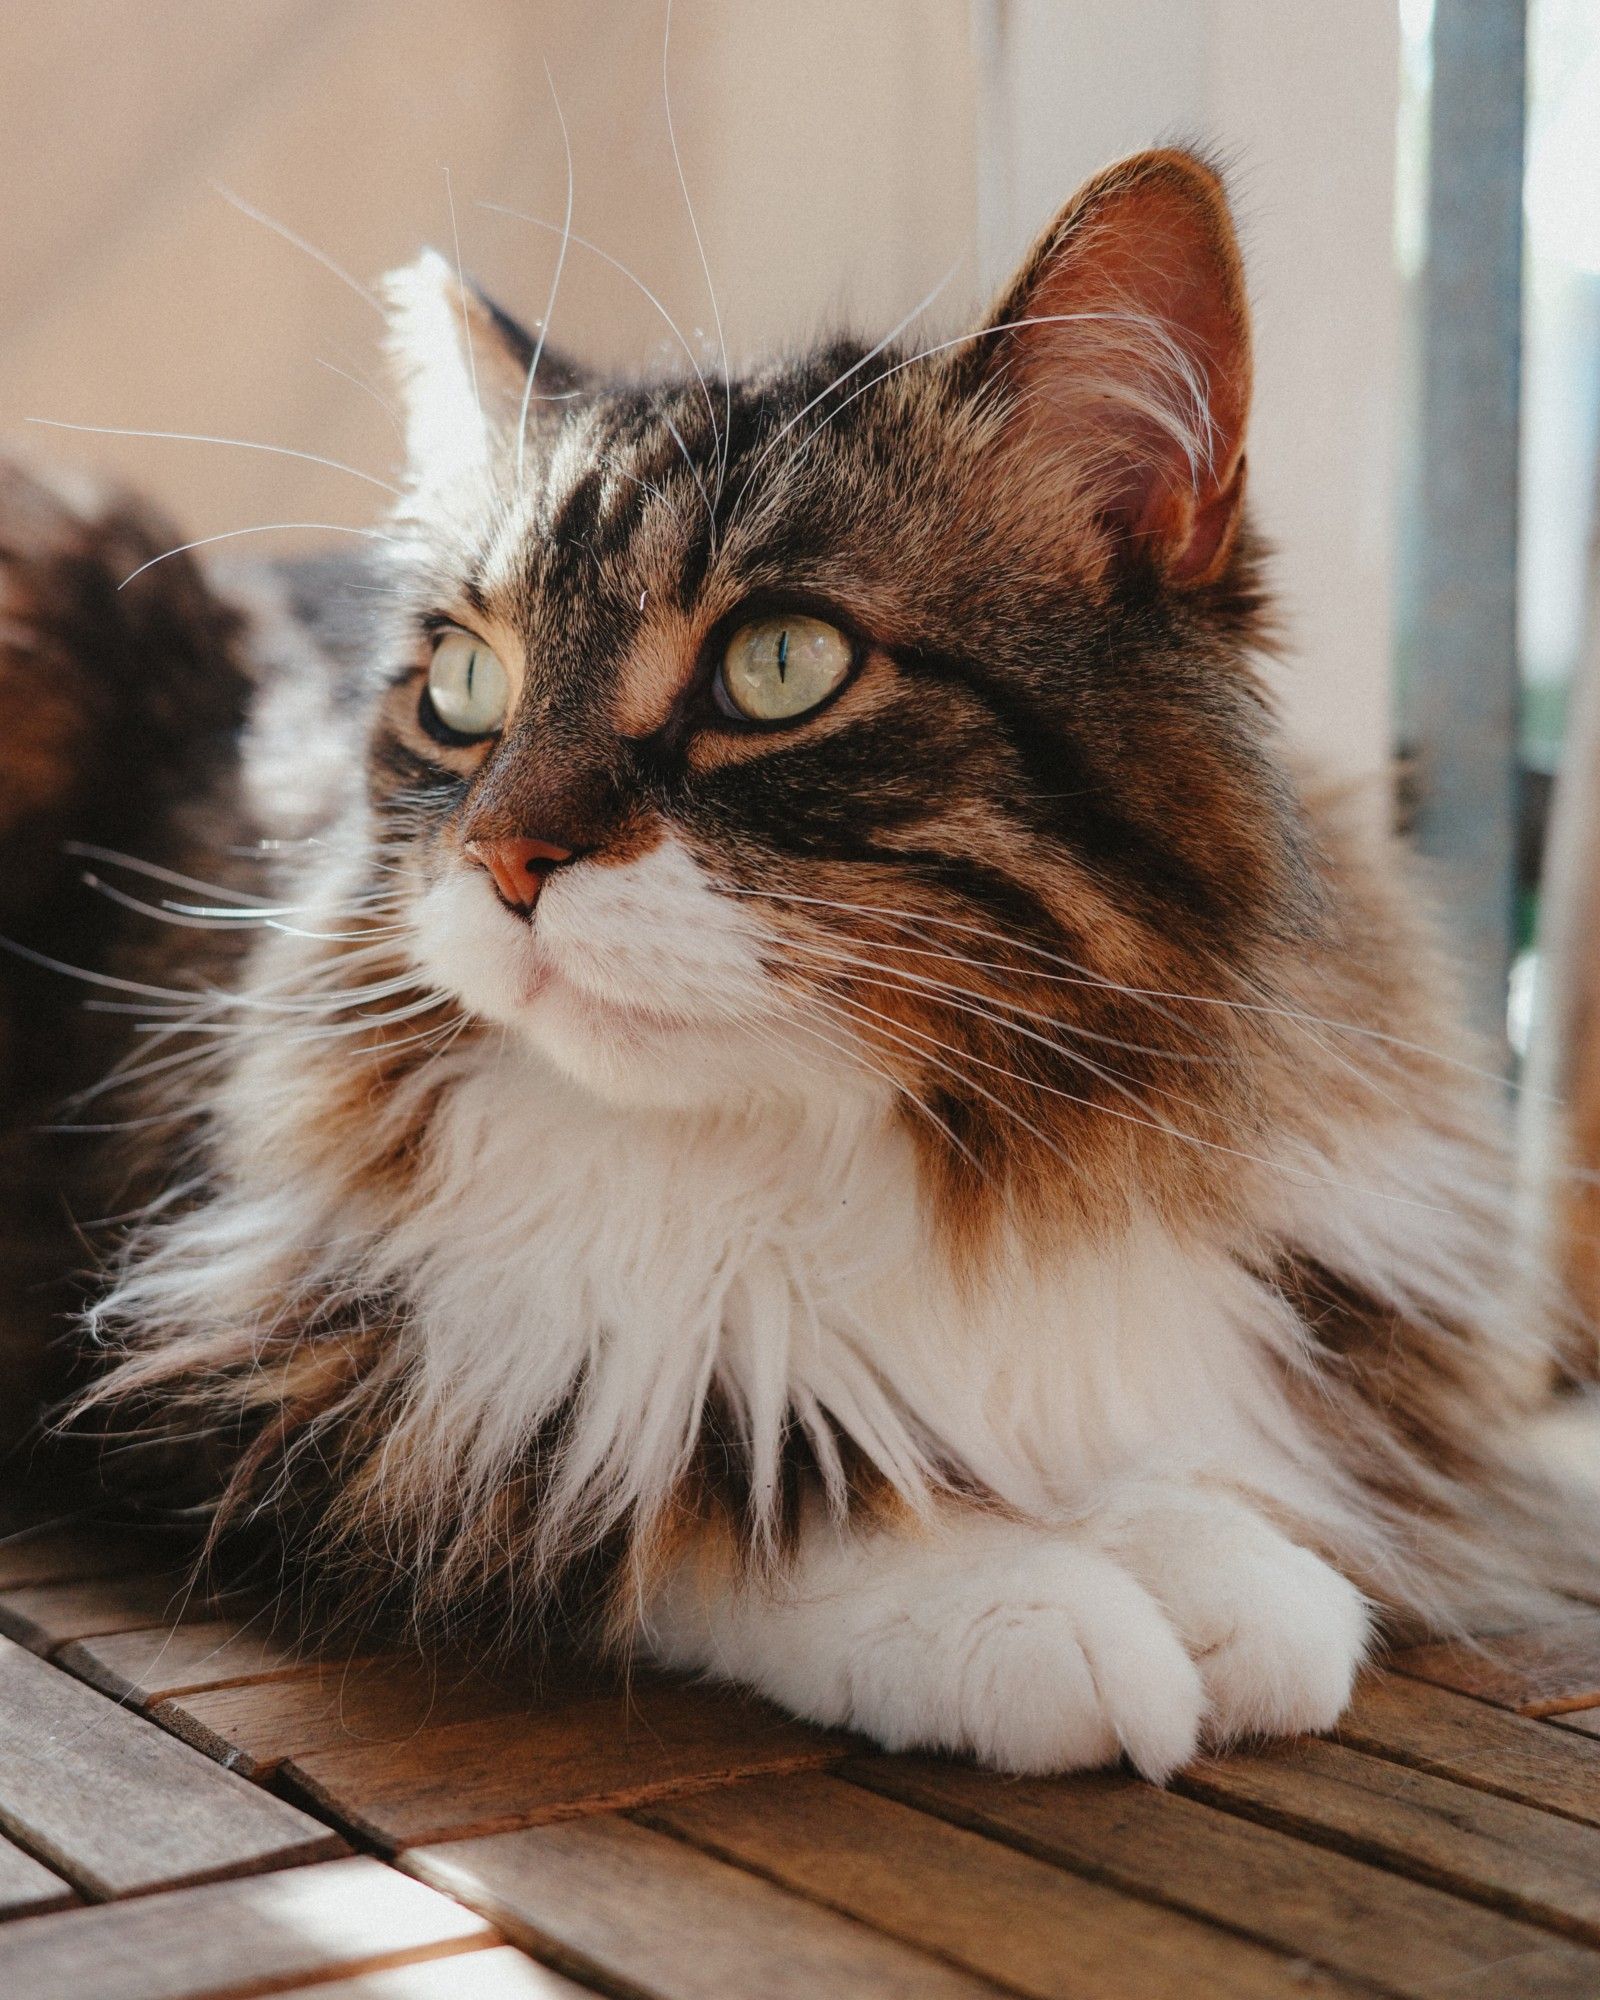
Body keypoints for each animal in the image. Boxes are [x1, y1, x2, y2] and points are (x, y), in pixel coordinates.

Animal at [0, 152, 1592, 1784]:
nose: (503, 856)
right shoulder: (204, 1370)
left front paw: (1201, 1557)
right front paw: (1011, 1593)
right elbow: (681, 1480)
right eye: (465, 685)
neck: (836, 1161)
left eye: (779, 665)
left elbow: (1127, 1428)